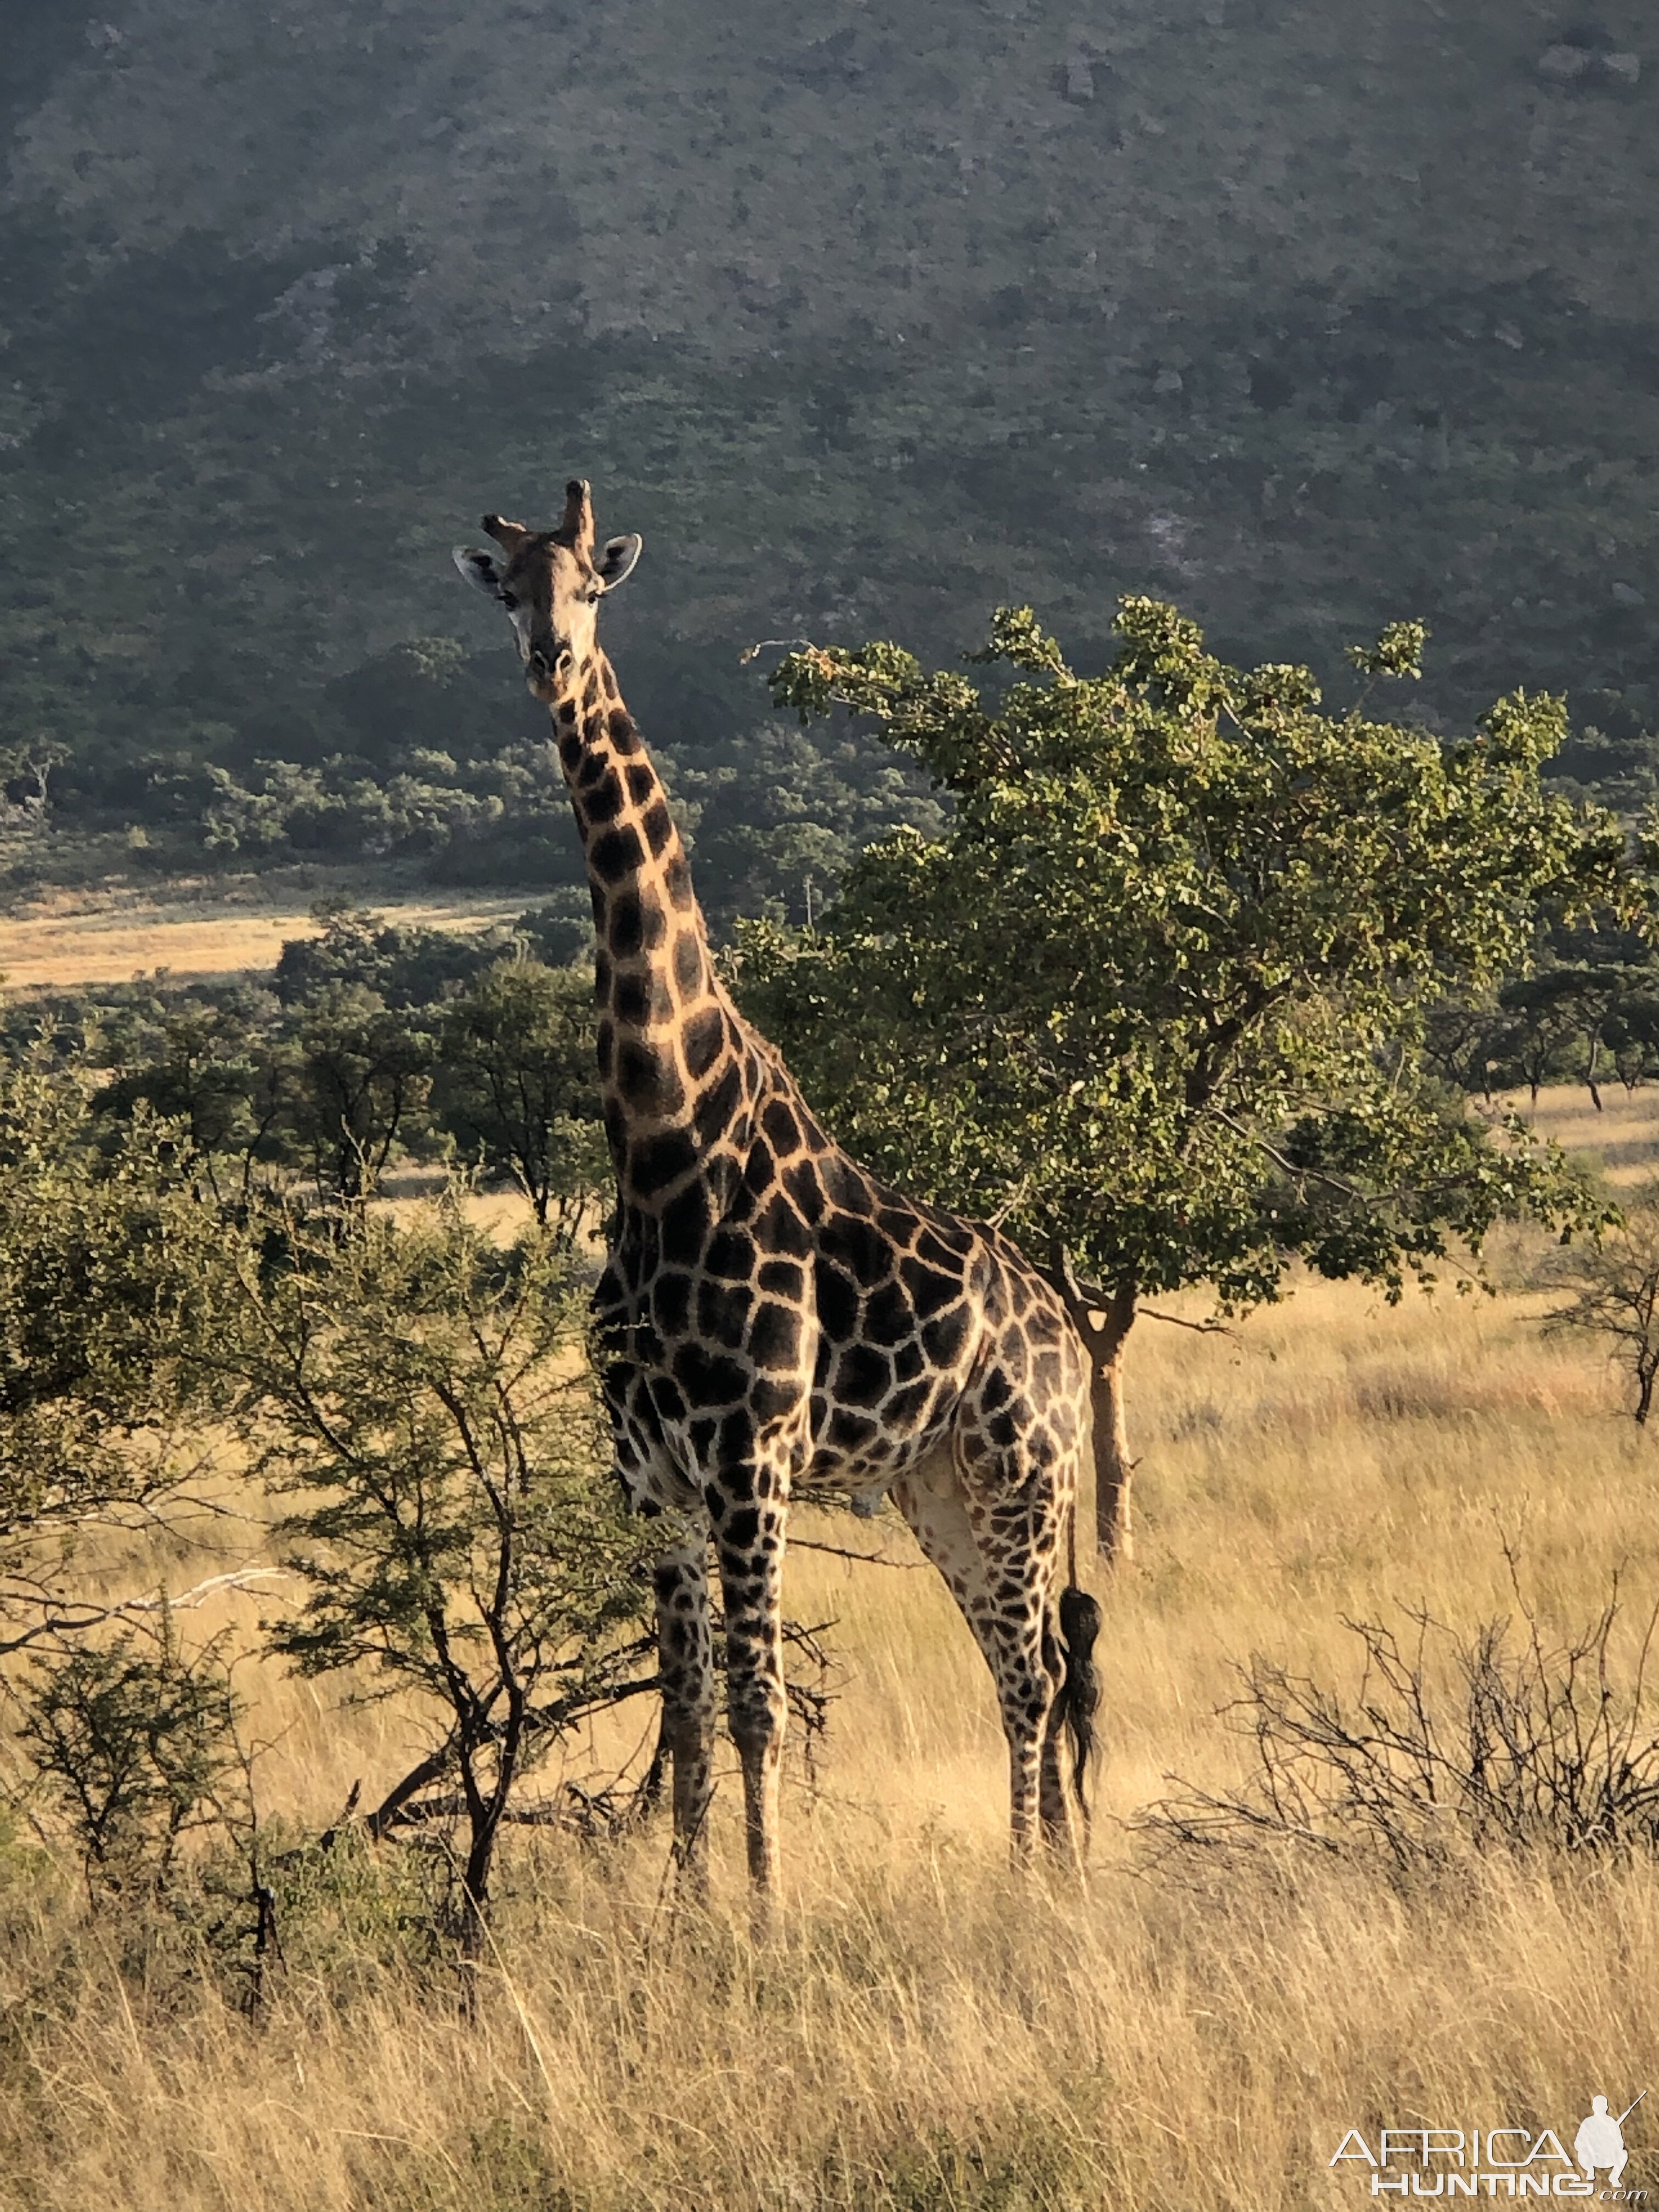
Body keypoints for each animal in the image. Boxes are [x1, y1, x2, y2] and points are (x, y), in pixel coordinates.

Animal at [455, 484, 1106, 1920]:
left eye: (594, 585)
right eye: (509, 591)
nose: (552, 663)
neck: (660, 1145)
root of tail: (1067, 1342)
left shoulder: (751, 1455)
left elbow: (757, 1705)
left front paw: (760, 1915)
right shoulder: (648, 1472)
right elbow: (687, 1712)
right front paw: (688, 1915)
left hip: (1023, 1481)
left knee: (1039, 1670)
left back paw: (1035, 1885)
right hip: (937, 1489)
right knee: (1017, 1665)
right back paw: (1036, 1875)